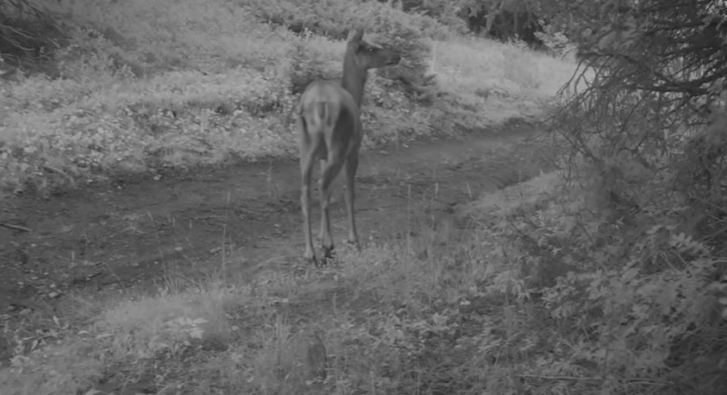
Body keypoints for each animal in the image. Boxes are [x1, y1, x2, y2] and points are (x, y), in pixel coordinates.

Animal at [296, 28, 400, 266]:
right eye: (371, 48)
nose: (397, 55)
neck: (354, 94)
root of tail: (317, 104)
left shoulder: (323, 156)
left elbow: (331, 191)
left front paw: (320, 235)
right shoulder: (354, 150)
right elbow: (349, 192)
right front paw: (353, 238)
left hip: (306, 147)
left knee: (307, 189)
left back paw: (309, 251)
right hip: (339, 143)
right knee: (322, 184)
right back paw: (328, 247)